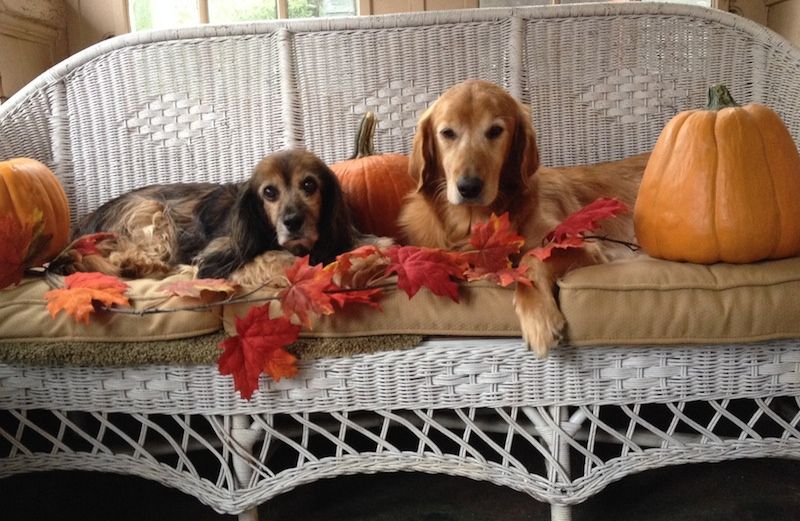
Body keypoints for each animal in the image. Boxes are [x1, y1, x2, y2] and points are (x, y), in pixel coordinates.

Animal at [53, 148, 372, 282]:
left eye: (309, 185)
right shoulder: (219, 256)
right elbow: (278, 258)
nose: (292, 222)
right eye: (269, 192)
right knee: (122, 257)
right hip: (152, 209)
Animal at [400, 80, 648, 358]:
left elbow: (532, 258)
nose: (469, 187)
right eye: (447, 133)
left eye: (495, 131)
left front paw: (540, 320)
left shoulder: (581, 244)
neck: (476, 220)